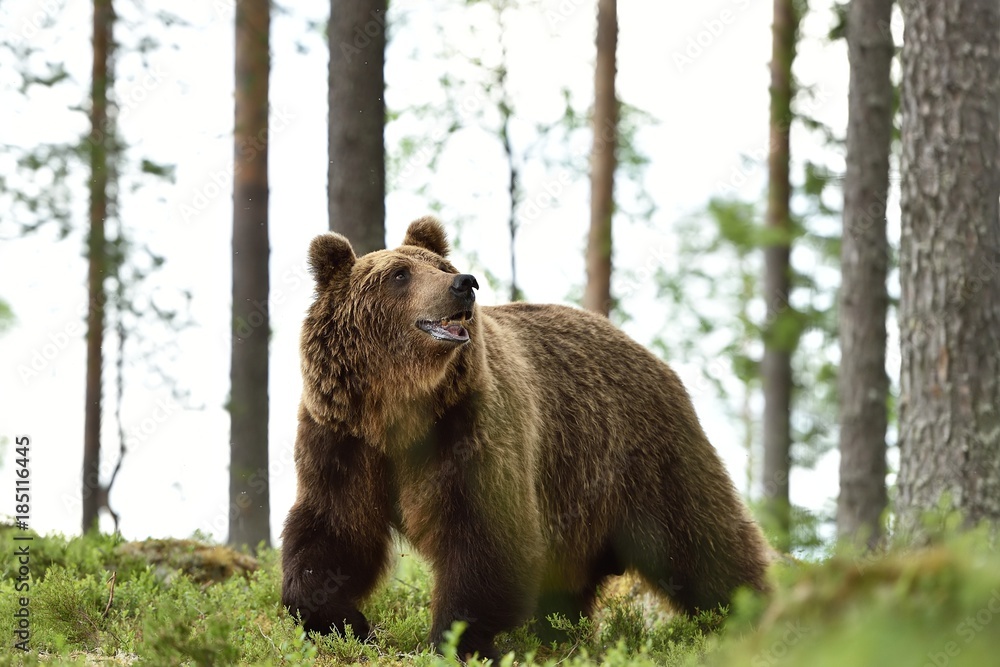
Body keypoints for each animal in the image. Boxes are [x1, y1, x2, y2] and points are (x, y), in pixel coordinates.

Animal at [281, 216, 771, 659]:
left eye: (440, 265)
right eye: (399, 274)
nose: (464, 283)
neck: (400, 408)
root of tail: (646, 351)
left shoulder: (469, 427)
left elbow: (486, 537)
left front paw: (455, 639)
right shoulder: (343, 437)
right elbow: (334, 529)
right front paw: (342, 622)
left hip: (643, 454)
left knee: (701, 540)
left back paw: (753, 616)